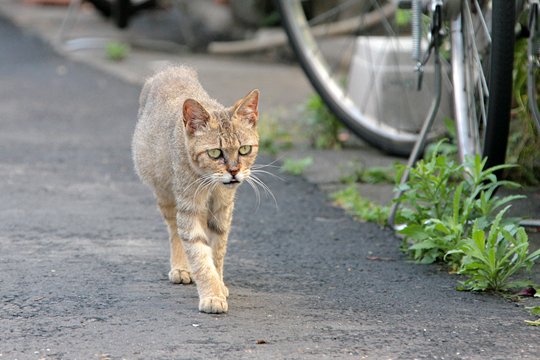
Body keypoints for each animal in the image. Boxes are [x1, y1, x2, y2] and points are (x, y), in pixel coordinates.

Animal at [130, 66, 258, 314]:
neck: (211, 184)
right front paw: (212, 294)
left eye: (244, 150)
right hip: (166, 195)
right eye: (215, 153)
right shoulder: (189, 208)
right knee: (174, 231)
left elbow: (217, 252)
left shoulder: (222, 210)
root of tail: (171, 69)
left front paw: (219, 284)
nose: (234, 171)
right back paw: (181, 267)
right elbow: (199, 255)